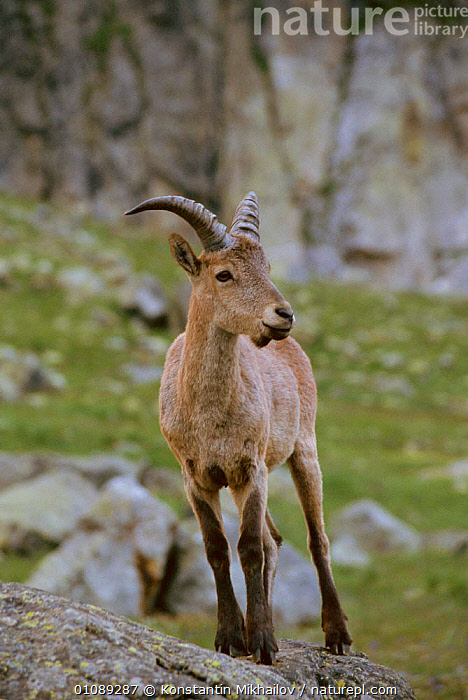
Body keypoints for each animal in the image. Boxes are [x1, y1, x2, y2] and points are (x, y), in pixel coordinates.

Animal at [125, 192, 352, 664]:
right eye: (223, 274)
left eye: (267, 268)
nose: (283, 315)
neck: (208, 415)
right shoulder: (197, 477)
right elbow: (216, 548)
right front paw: (231, 637)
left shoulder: (251, 467)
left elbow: (248, 547)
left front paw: (263, 641)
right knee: (275, 539)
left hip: (303, 451)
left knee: (313, 538)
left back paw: (336, 633)